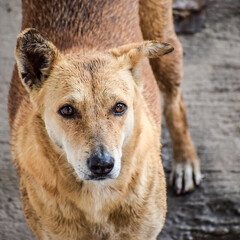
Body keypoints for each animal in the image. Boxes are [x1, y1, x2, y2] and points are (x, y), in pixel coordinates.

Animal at [8, 0, 202, 240]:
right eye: (67, 110)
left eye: (119, 107)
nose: (102, 165)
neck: (97, 197)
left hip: (164, 44)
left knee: (175, 103)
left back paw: (185, 161)